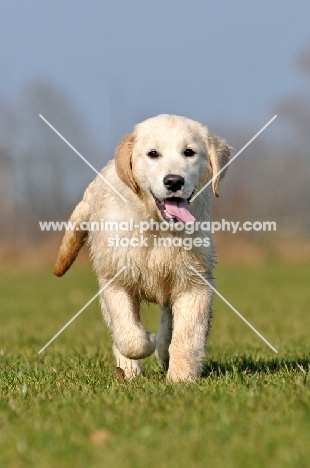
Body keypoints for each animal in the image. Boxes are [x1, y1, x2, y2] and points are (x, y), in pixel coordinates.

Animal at [53, 115, 230, 382]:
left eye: (189, 152)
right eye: (153, 154)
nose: (174, 181)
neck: (157, 227)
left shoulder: (194, 283)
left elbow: (187, 336)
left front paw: (181, 378)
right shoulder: (115, 281)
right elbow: (130, 337)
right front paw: (146, 342)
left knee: (168, 320)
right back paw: (128, 372)